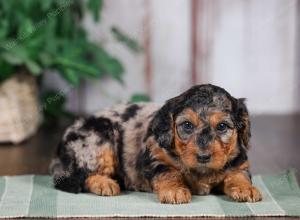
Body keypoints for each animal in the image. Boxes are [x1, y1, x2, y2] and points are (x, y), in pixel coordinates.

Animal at [50, 84, 262, 203]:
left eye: (222, 126)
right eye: (187, 125)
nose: (203, 156)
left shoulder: (239, 162)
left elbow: (238, 175)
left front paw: (245, 189)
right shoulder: (155, 158)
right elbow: (169, 173)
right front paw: (175, 191)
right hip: (98, 138)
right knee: (82, 174)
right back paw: (105, 184)